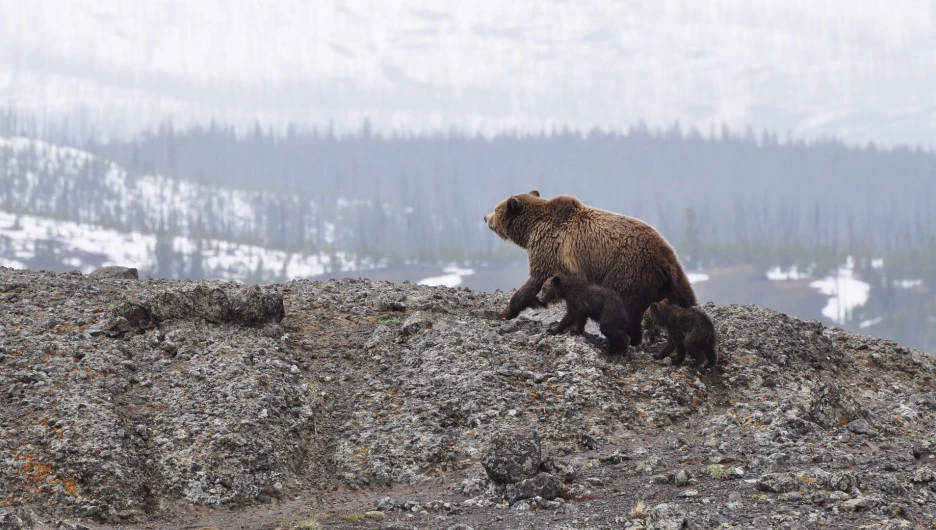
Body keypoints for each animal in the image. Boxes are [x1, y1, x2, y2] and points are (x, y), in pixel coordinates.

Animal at [482, 189, 696, 342]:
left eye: (496, 208)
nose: (485, 217)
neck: (530, 230)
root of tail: (663, 258)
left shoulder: (550, 249)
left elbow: (537, 280)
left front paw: (507, 310)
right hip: (674, 278)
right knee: (685, 300)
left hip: (627, 270)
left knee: (625, 305)